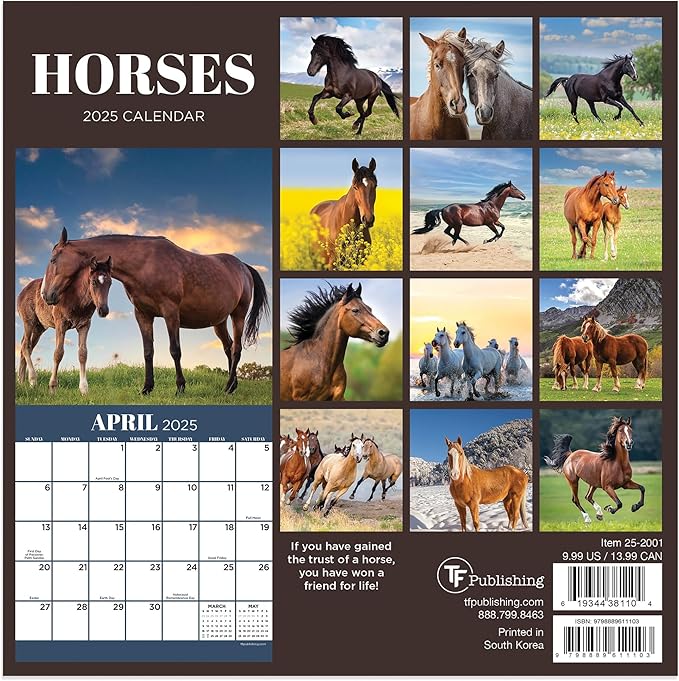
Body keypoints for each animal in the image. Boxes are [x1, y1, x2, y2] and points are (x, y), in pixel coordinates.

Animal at [18, 256, 113, 395]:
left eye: (110, 283)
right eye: (94, 282)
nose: (103, 310)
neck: (75, 297)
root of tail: (21, 293)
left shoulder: (84, 325)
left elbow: (83, 354)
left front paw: (84, 389)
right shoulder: (60, 324)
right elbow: (58, 353)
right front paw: (52, 387)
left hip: (39, 328)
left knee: (26, 346)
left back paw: (21, 381)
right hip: (29, 322)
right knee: (25, 346)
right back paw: (33, 380)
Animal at [41, 228, 269, 396]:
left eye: (53, 260)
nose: (46, 295)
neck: (145, 263)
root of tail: (243, 267)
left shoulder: (171, 313)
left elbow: (175, 350)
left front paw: (180, 387)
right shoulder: (143, 314)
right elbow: (148, 351)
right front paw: (147, 388)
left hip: (238, 315)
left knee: (236, 348)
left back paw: (228, 387)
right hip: (219, 321)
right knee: (228, 347)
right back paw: (233, 385)